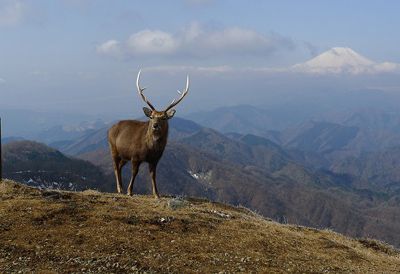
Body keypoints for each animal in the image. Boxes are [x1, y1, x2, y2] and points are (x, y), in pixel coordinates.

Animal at [108, 69, 189, 198]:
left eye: (164, 117)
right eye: (152, 116)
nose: (155, 125)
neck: (150, 149)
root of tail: (110, 129)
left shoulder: (155, 159)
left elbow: (153, 175)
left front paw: (156, 194)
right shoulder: (135, 156)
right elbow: (134, 172)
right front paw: (130, 191)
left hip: (124, 155)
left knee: (120, 166)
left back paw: (121, 187)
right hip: (113, 148)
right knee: (115, 166)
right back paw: (120, 189)